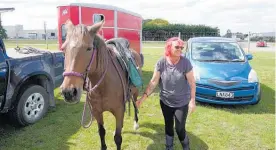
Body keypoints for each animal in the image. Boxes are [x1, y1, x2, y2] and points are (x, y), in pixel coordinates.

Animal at [59, 19, 142, 149]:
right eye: (63, 49)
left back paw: (136, 123)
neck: (104, 85)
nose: (69, 92)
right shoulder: (97, 112)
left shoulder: (119, 111)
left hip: (135, 92)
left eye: (89, 48)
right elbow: (102, 132)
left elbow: (118, 138)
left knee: (134, 105)